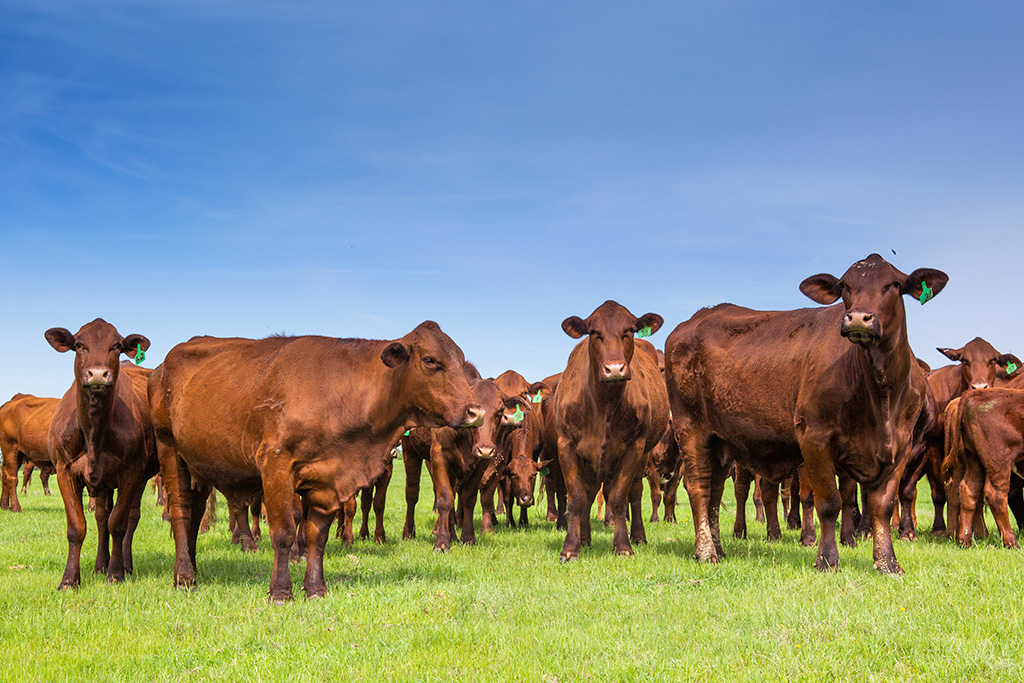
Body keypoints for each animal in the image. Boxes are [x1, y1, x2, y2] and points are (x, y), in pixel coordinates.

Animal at [45, 319, 157, 588]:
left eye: (116, 346)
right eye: (79, 345)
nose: (97, 373)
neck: (94, 431)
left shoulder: (131, 471)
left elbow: (118, 523)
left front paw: (115, 573)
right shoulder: (64, 471)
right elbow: (77, 527)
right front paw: (69, 580)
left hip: (139, 476)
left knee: (130, 517)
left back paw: (125, 565)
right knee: (101, 517)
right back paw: (99, 565)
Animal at [149, 321, 484, 602]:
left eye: (460, 360)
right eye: (430, 360)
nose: (476, 412)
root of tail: (164, 365)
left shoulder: (328, 480)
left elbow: (316, 536)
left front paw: (315, 588)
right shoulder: (275, 466)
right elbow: (284, 532)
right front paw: (280, 592)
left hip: (198, 465)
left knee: (194, 518)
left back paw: (191, 570)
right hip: (170, 450)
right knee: (180, 514)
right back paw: (185, 578)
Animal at [554, 300, 670, 560]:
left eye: (629, 330)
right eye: (594, 332)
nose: (615, 369)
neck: (603, 405)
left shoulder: (634, 448)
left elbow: (619, 498)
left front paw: (623, 545)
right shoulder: (566, 446)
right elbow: (577, 498)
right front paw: (571, 547)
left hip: (643, 454)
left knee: (635, 493)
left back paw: (638, 535)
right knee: (589, 494)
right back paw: (585, 538)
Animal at [665, 254, 947, 574]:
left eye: (895, 284)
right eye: (845, 286)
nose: (858, 318)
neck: (880, 396)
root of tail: (693, 321)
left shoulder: (900, 446)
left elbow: (883, 505)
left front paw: (887, 562)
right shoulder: (814, 439)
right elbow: (829, 503)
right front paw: (827, 558)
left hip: (721, 441)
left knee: (713, 492)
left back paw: (719, 548)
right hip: (690, 428)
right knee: (698, 486)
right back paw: (705, 551)